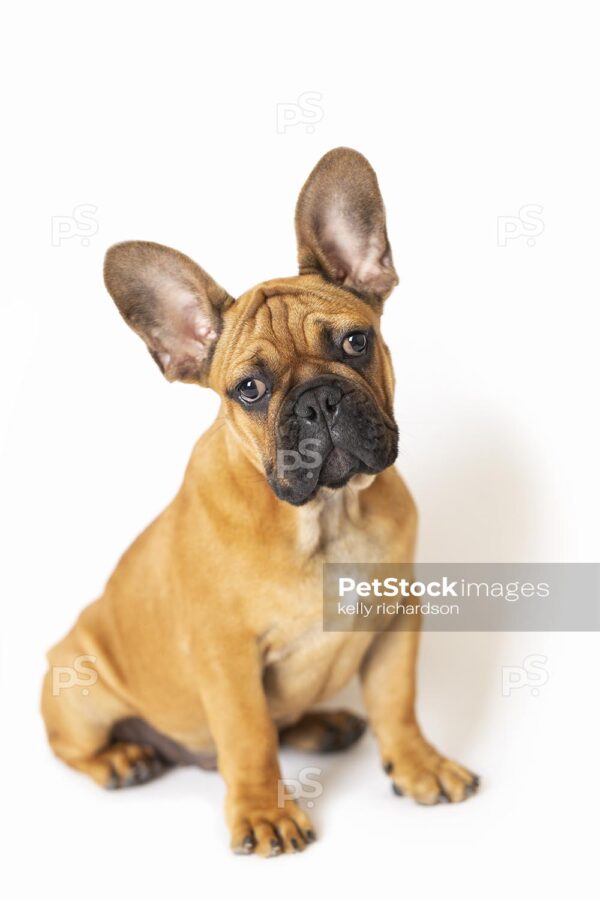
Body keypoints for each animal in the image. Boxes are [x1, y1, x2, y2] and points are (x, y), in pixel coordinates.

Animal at [41, 149, 478, 856]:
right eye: (249, 388)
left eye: (355, 342)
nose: (318, 400)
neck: (325, 514)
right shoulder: (228, 656)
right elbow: (248, 737)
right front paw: (264, 812)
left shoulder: (396, 619)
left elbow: (396, 702)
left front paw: (418, 765)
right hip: (76, 682)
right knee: (74, 745)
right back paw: (121, 759)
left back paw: (322, 724)